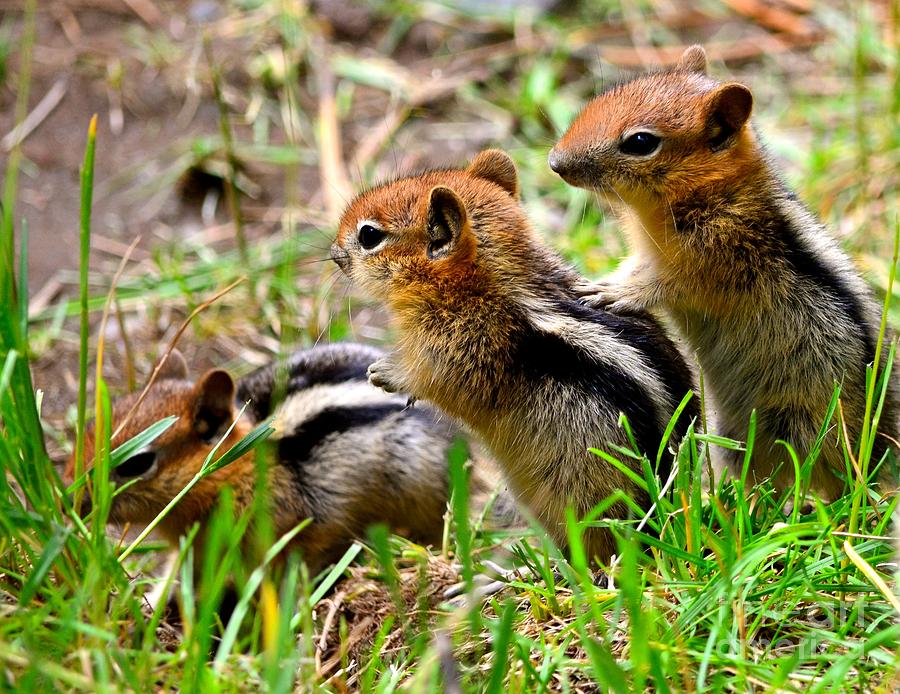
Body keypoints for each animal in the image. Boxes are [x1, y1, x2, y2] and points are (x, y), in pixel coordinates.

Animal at [330, 150, 696, 564]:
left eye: (369, 236)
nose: (335, 256)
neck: (491, 280)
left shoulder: (460, 349)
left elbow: (435, 380)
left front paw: (385, 373)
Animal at [552, 46, 896, 498]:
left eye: (641, 142)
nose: (555, 163)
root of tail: (876, 458)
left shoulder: (717, 260)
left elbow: (664, 287)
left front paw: (615, 294)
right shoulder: (646, 254)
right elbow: (634, 269)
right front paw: (601, 280)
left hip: (802, 425)